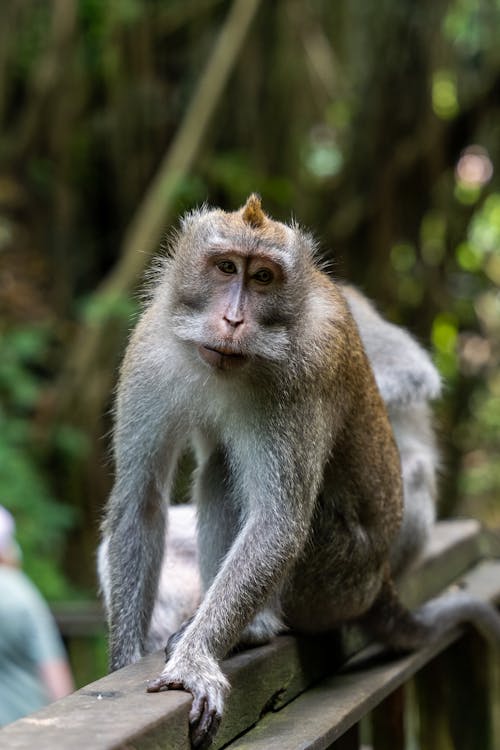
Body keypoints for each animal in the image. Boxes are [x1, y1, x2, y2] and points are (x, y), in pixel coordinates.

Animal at [99, 195, 500, 750]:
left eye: (263, 277)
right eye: (226, 267)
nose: (232, 319)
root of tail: (380, 580)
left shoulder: (305, 370)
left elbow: (278, 523)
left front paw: (195, 661)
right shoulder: (150, 347)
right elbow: (142, 499)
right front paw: (126, 659)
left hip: (337, 577)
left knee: (234, 479)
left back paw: (257, 626)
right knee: (220, 468)